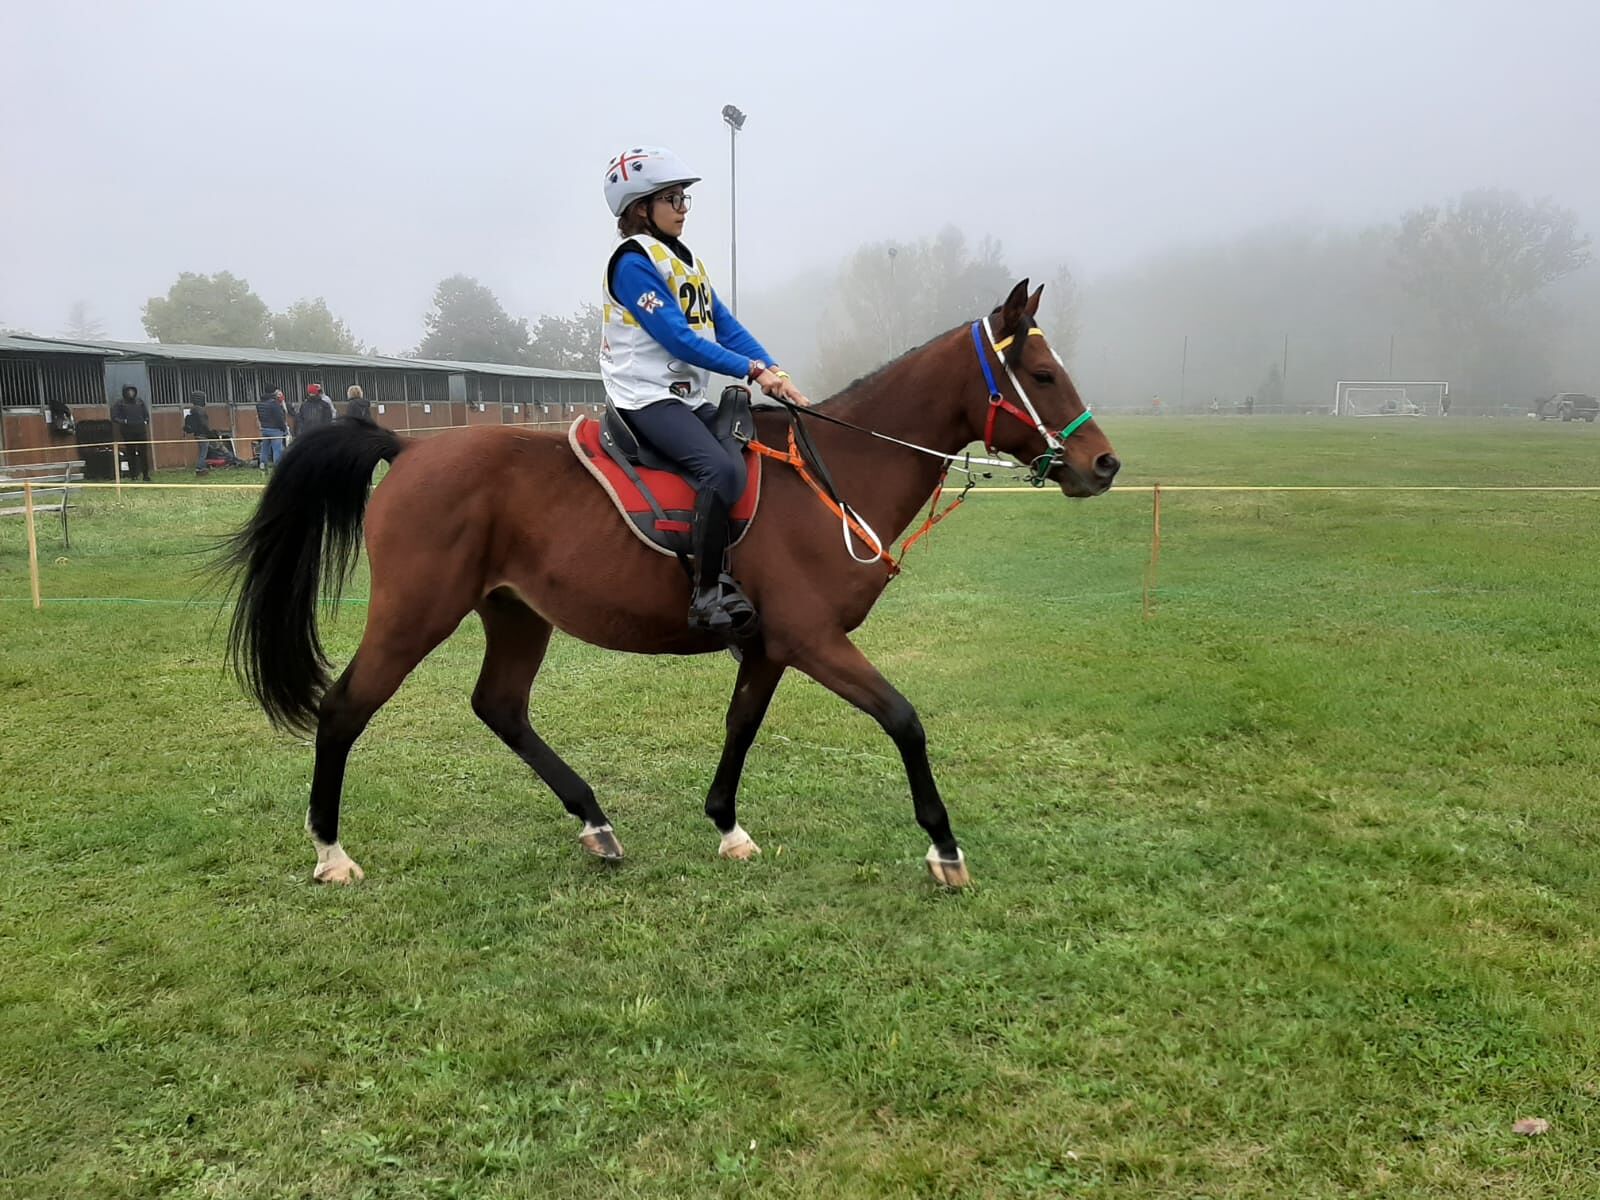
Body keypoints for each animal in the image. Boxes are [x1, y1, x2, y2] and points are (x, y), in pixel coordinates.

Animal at [220, 279, 1120, 890]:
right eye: (1042, 373)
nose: (1104, 464)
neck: (835, 472)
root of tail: (407, 448)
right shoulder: (813, 640)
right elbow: (903, 719)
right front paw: (944, 845)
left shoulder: (770, 645)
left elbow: (741, 726)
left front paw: (727, 826)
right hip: (416, 615)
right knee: (345, 709)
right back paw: (331, 851)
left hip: (517, 614)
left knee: (500, 707)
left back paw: (594, 822)